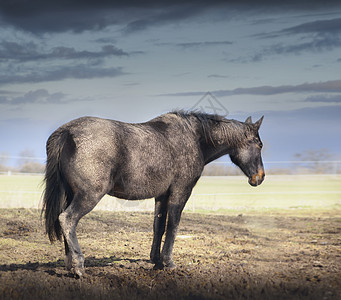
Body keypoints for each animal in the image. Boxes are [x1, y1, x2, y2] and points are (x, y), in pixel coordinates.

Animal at [41, 110, 264, 276]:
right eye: (259, 144)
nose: (260, 177)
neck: (195, 138)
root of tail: (66, 132)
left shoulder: (161, 196)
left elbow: (159, 226)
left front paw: (156, 261)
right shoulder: (180, 192)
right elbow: (173, 225)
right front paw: (169, 262)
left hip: (71, 195)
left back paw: (70, 264)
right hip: (88, 196)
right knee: (67, 219)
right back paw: (78, 266)